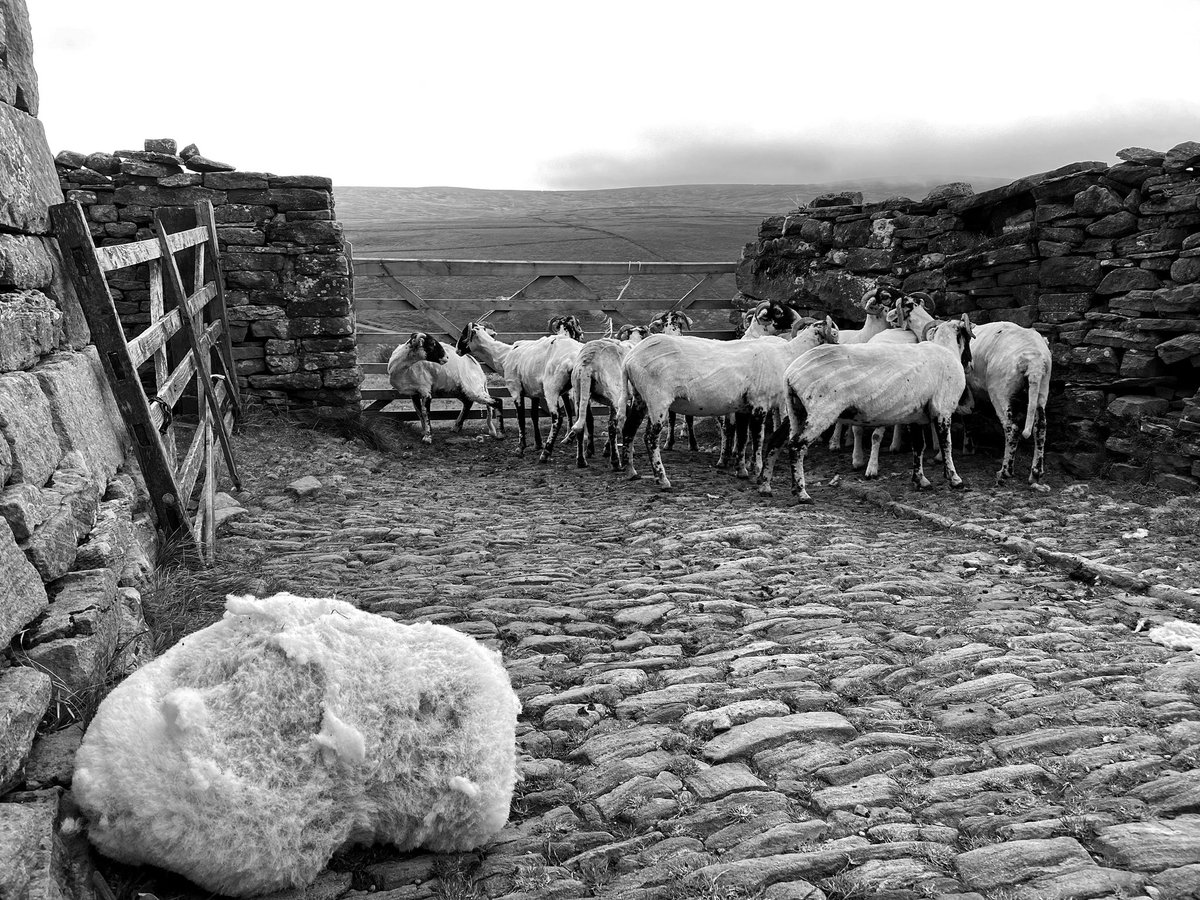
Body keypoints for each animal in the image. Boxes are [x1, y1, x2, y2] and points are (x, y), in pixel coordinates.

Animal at [566, 324, 649, 469]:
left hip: (579, 391)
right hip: (615, 392)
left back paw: (581, 460)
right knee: (613, 426)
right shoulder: (630, 397)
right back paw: (615, 461)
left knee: (581, 425)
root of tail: (588, 362)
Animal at [621, 316, 840, 490]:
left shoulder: (742, 407)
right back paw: (662, 479)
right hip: (657, 399)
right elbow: (758, 438)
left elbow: (742, 438)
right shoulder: (759, 404)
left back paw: (631, 472)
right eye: (835, 332)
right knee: (650, 438)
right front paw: (756, 469)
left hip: (640, 399)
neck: (788, 354)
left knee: (629, 430)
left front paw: (741, 470)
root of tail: (629, 359)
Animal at [757, 312, 975, 502]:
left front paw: (921, 480)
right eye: (968, 337)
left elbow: (918, 447)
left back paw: (765, 486)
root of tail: (790, 374)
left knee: (775, 440)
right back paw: (802, 493)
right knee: (797, 445)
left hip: (798, 409)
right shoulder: (943, 410)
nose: (970, 364)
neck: (947, 350)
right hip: (820, 410)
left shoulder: (915, 416)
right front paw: (955, 479)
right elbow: (947, 445)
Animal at [896, 297, 1052, 489]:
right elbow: (967, 415)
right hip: (1041, 389)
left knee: (1012, 428)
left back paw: (1005, 471)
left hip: (1000, 391)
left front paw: (944, 455)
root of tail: (1034, 359)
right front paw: (968, 447)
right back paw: (1035, 473)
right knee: (1040, 428)